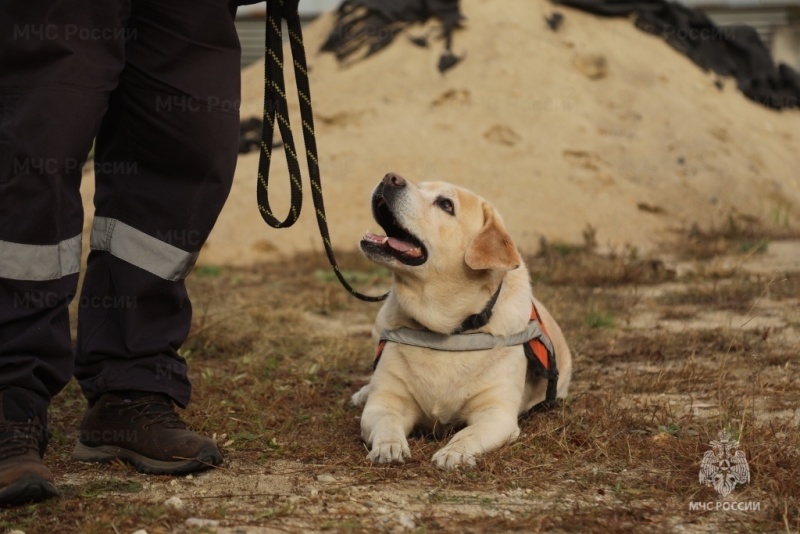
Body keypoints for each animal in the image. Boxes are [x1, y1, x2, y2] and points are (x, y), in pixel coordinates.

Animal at [354, 175, 572, 468]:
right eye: (420, 185)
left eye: (446, 204)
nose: (391, 177)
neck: (450, 327)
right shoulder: (384, 402)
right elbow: (387, 422)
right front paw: (389, 446)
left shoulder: (496, 413)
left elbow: (470, 433)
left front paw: (453, 452)